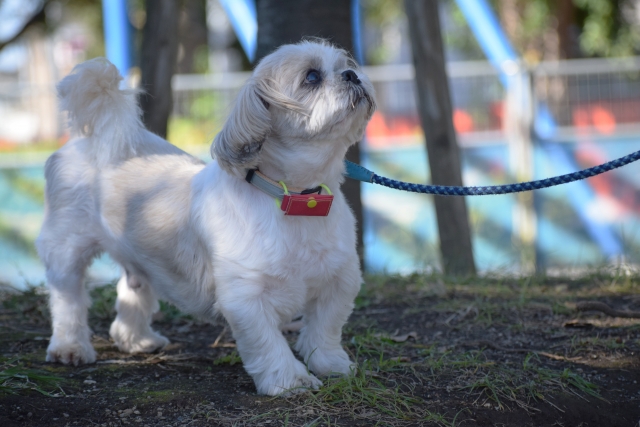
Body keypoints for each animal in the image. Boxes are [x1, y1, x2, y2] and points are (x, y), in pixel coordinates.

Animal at [35, 41, 376, 396]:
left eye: (346, 65)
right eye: (311, 77)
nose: (352, 75)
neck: (297, 198)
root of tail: (95, 138)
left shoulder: (340, 280)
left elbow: (325, 329)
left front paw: (331, 364)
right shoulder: (246, 297)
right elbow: (269, 344)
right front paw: (290, 380)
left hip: (141, 257)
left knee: (133, 289)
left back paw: (137, 340)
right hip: (66, 248)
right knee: (68, 299)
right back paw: (70, 347)